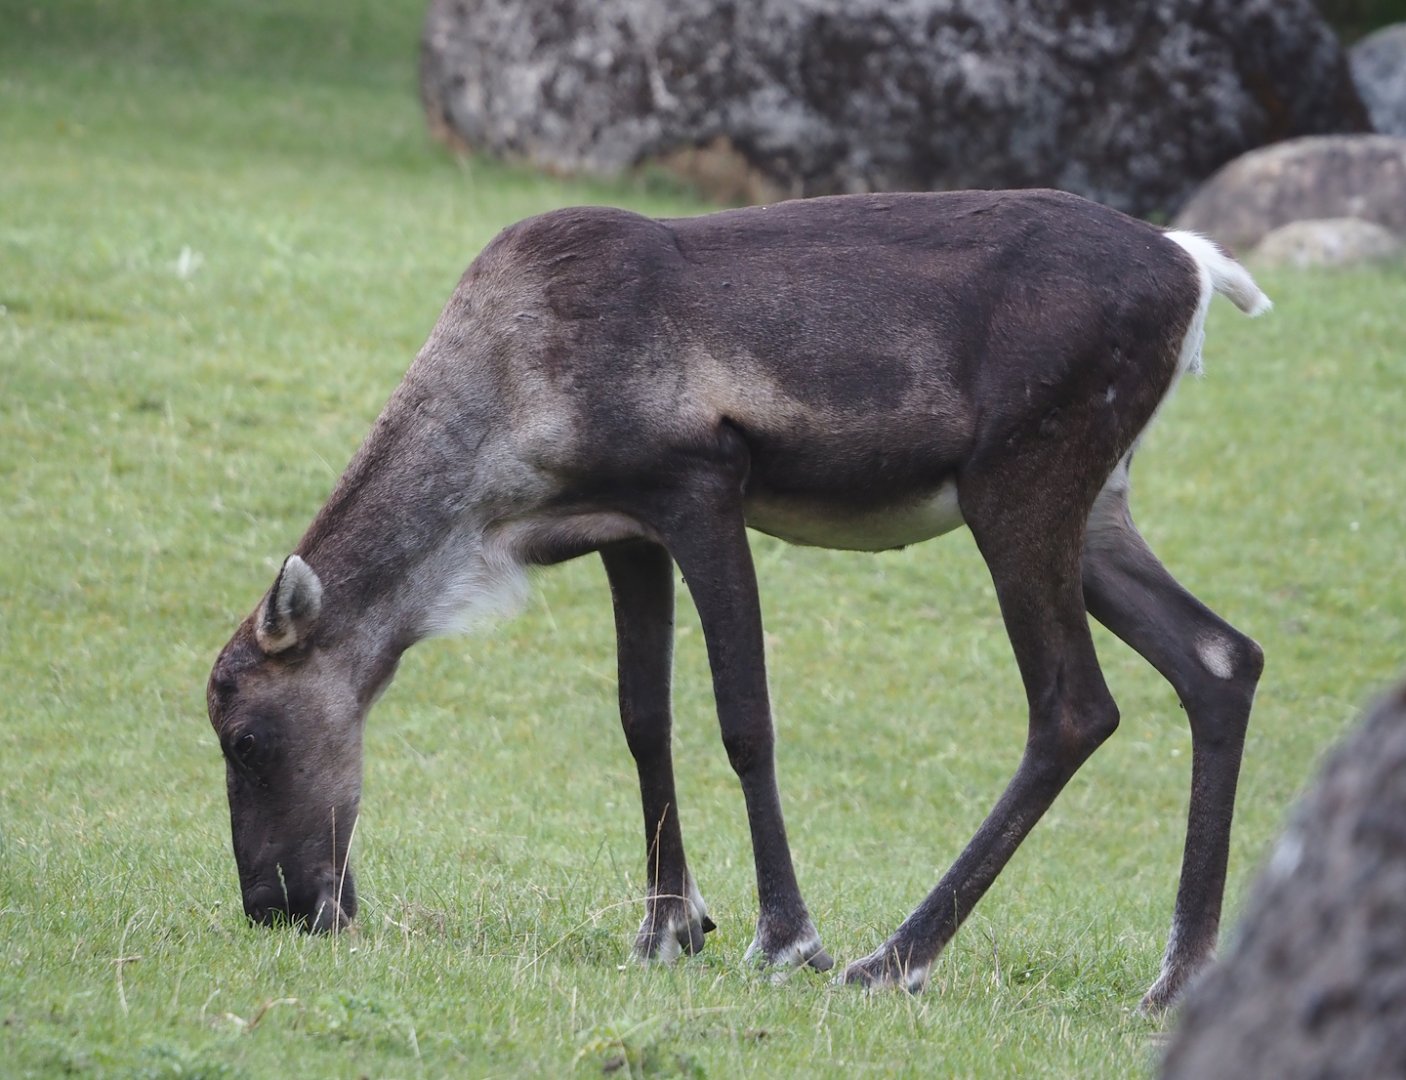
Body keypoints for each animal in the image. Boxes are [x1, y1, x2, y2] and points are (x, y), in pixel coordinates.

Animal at [206, 187, 1269, 1011]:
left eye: (247, 738)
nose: (276, 907)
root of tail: (1194, 266)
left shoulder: (701, 486)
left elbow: (743, 719)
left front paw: (787, 937)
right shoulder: (625, 531)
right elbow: (643, 720)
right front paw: (667, 927)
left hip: (1019, 480)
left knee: (1074, 706)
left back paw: (896, 957)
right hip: (1096, 506)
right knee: (1221, 657)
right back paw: (1175, 978)